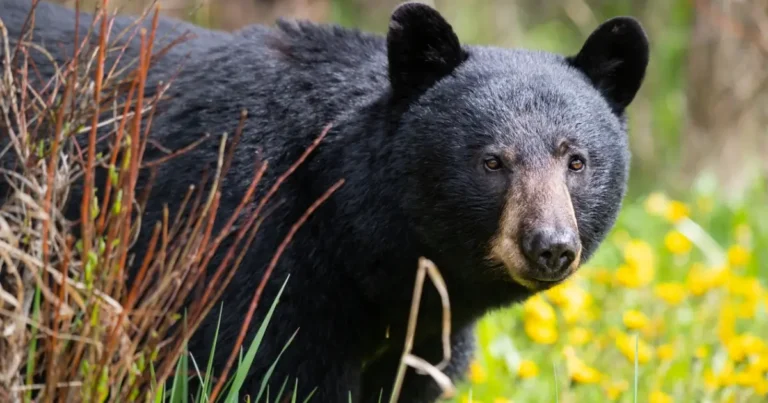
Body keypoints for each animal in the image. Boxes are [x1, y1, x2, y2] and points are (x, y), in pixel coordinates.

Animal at [0, 0, 648, 402]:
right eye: (492, 162)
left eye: (576, 161)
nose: (551, 246)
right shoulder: (251, 257)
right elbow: (267, 371)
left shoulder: (424, 335)